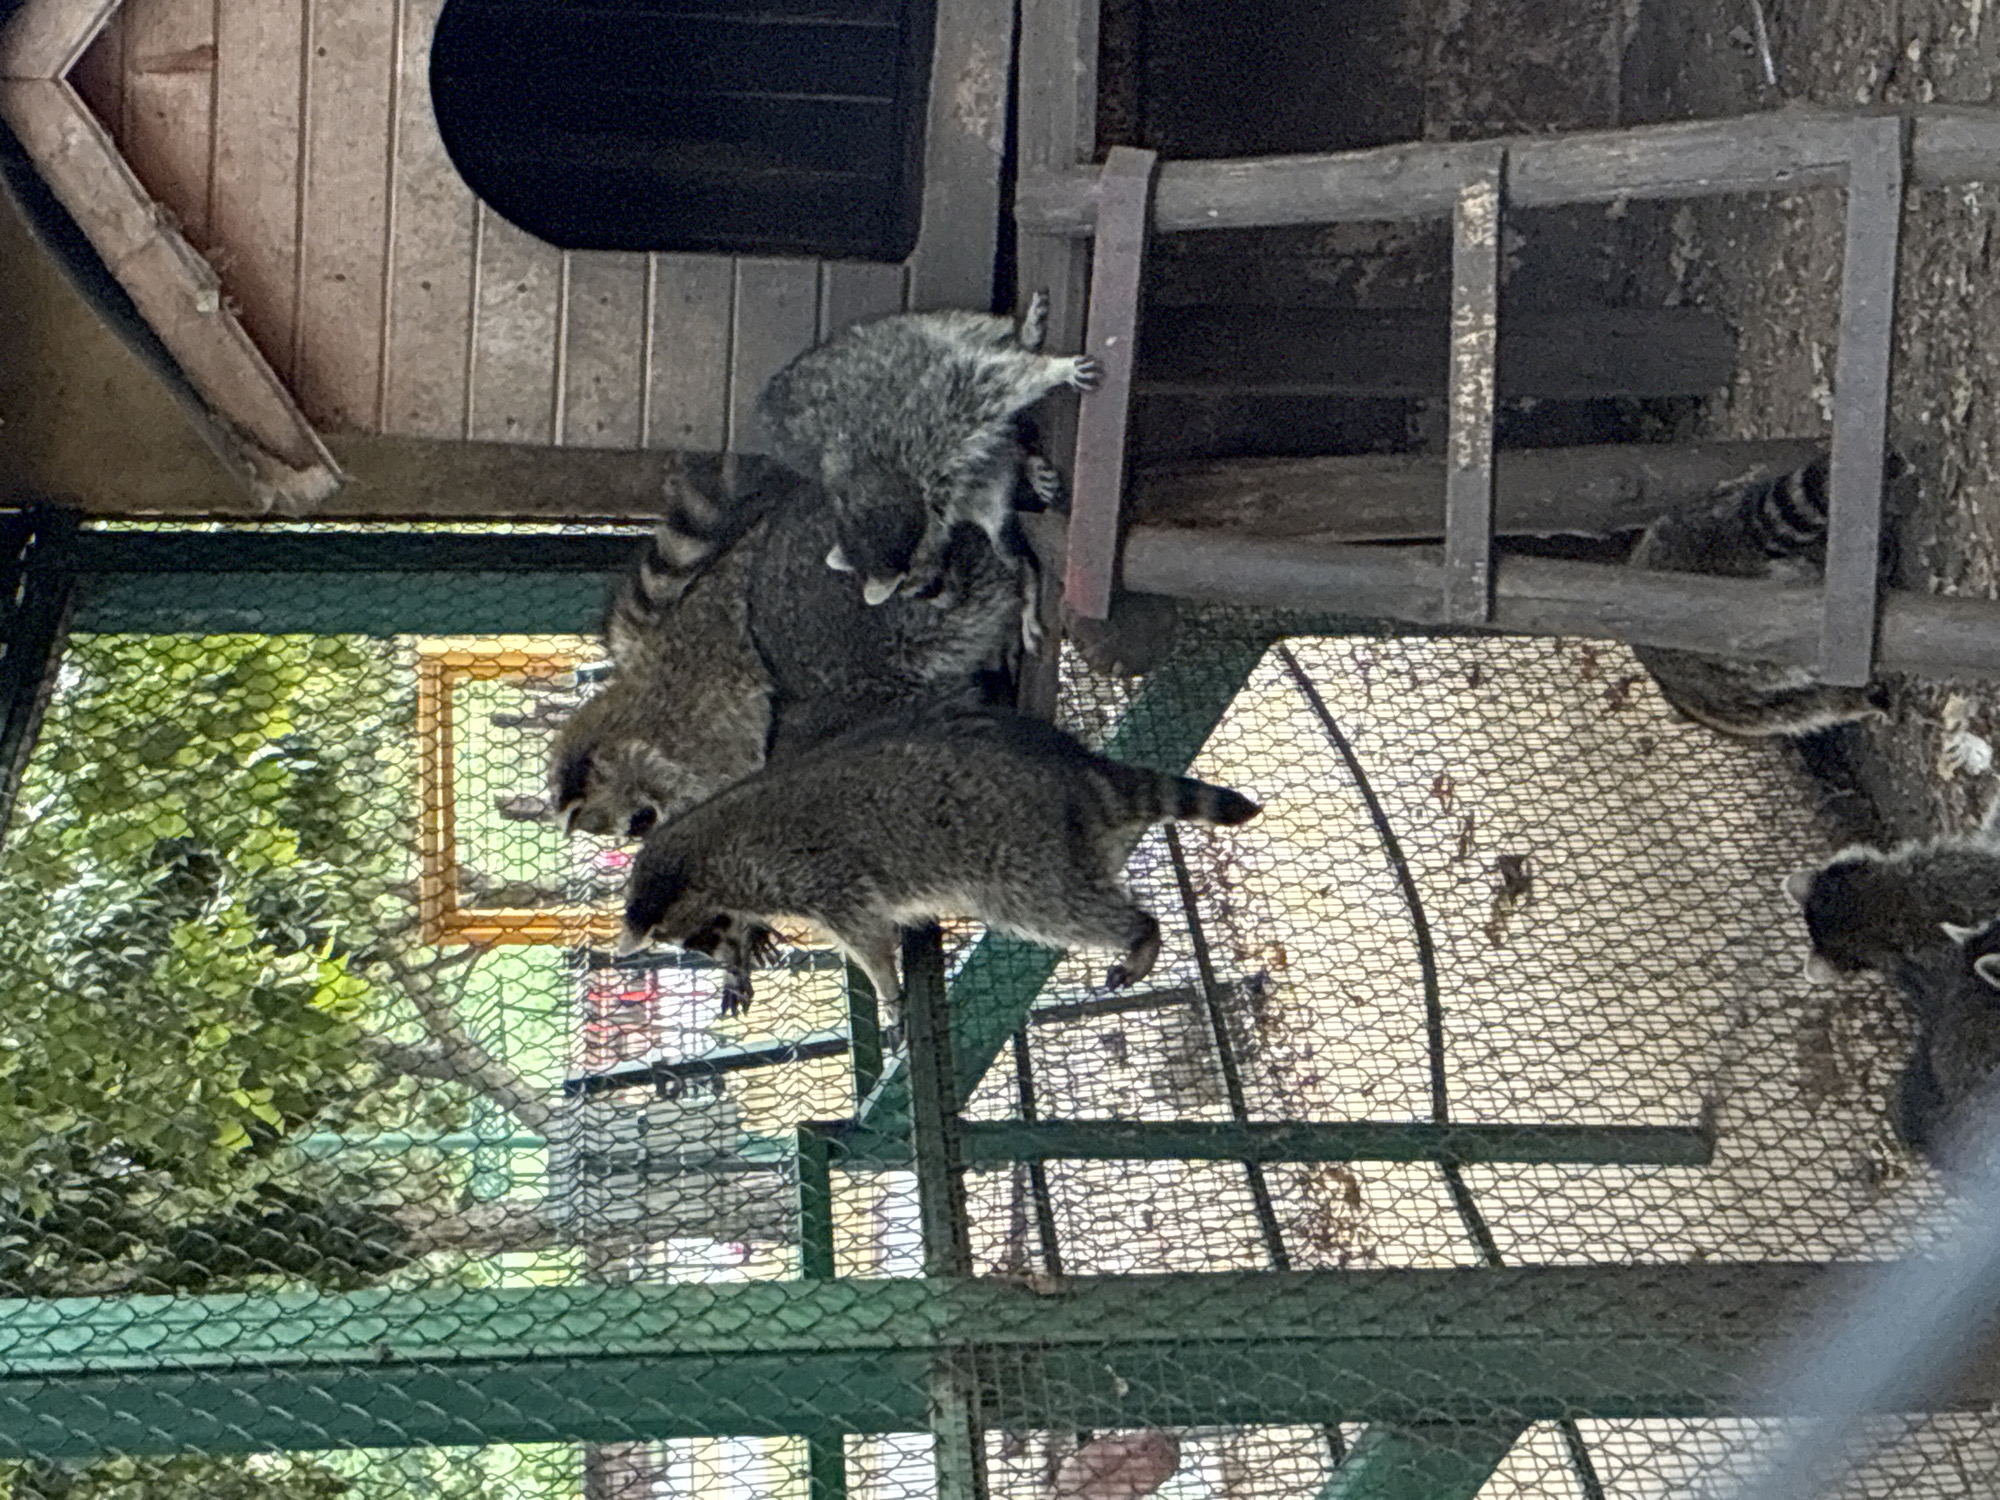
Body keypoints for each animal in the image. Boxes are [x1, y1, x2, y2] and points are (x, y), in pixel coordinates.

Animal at [616, 711, 1260, 1009]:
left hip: (1023, 852)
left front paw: (886, 988)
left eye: (703, 934)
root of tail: (1076, 769)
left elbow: (867, 934)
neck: (701, 846)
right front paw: (743, 958)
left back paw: (1141, 931)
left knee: (1059, 909)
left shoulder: (815, 874)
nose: (718, 954)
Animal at [756, 291, 1097, 639]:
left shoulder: (940, 412)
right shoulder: (961, 485)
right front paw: (1024, 576)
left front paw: (1054, 369)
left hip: (941, 324)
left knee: (989, 341)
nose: (952, 602)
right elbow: (990, 502)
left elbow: (998, 380)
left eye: (923, 585)